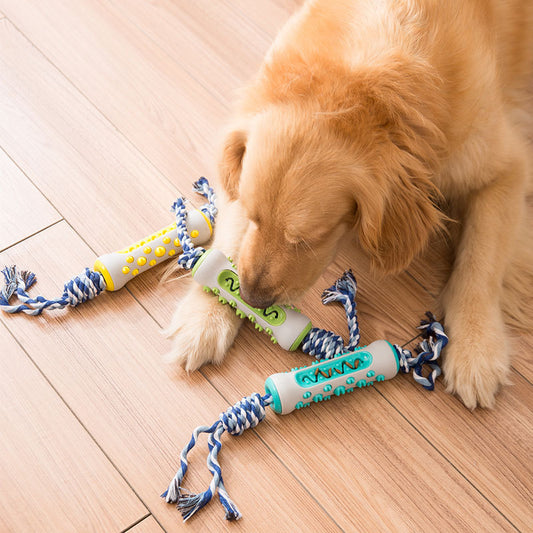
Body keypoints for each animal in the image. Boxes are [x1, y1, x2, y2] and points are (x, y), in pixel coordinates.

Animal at [168, 0, 532, 410]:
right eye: (253, 215)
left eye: (308, 240)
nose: (251, 298)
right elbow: (231, 241)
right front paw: (203, 320)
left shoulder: (507, 166)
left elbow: (480, 261)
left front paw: (476, 349)